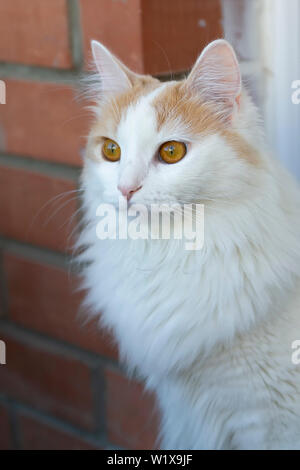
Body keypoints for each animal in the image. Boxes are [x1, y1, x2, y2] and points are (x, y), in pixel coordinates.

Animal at [77, 38, 300, 450]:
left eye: (171, 152)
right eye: (111, 151)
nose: (125, 189)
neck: (166, 250)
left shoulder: (265, 421)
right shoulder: (188, 412)